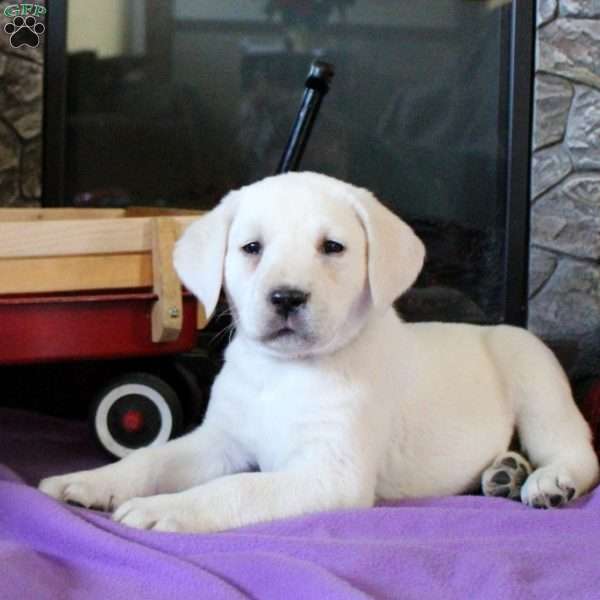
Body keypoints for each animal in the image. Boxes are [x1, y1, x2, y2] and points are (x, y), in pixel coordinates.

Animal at [39, 172, 596, 528]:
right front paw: (90, 481)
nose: (286, 297)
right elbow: (150, 459)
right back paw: (505, 472)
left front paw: (166, 509)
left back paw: (546, 480)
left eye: (332, 247)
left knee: (576, 450)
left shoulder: (329, 474)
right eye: (251, 248)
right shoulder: (220, 440)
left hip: (532, 373)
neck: (284, 373)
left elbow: (235, 489)